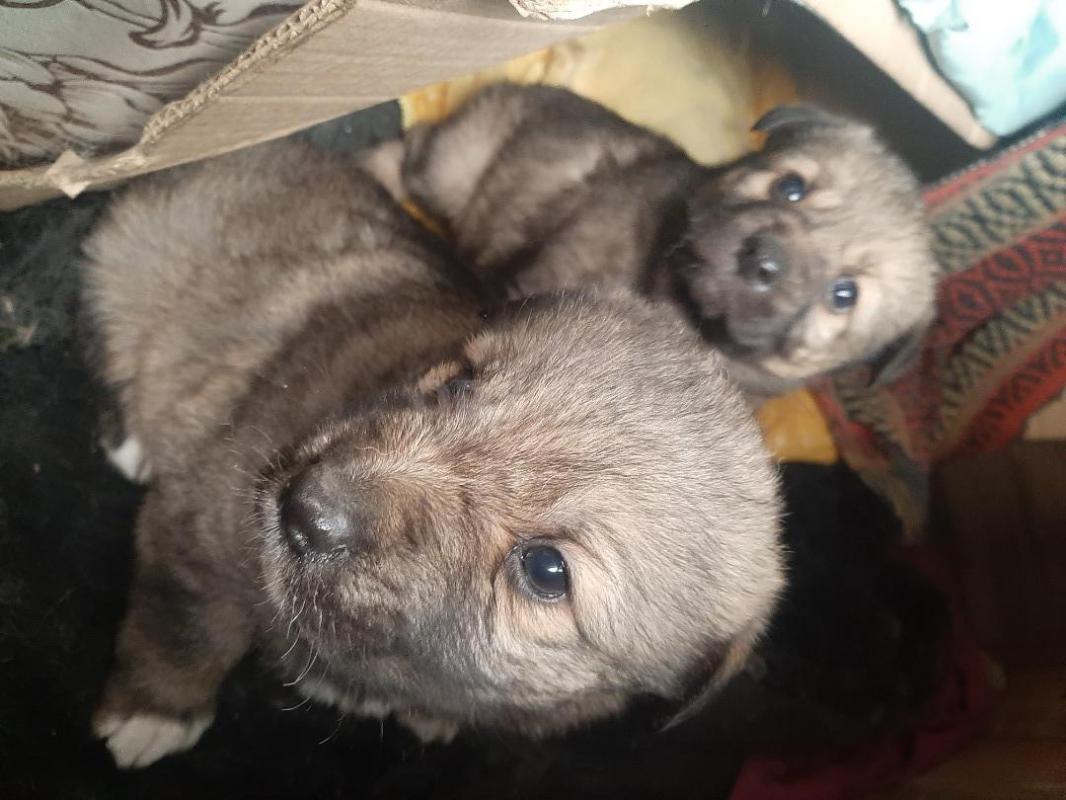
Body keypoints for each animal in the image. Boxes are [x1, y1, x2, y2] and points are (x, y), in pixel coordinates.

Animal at [83, 140, 784, 768]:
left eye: (547, 571)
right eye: (459, 384)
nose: (304, 512)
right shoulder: (205, 520)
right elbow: (185, 625)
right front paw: (153, 710)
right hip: (128, 263)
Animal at [368, 83, 937, 398]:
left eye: (844, 295)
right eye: (791, 187)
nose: (764, 260)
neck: (675, 301)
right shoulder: (541, 281)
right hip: (452, 169)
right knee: (408, 150)